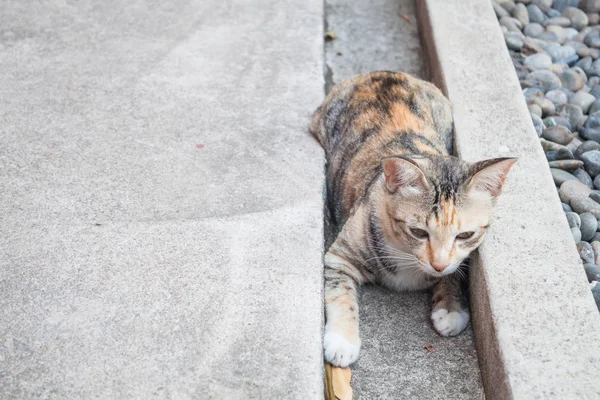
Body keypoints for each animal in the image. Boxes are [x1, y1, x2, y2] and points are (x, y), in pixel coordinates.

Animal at [310, 71, 516, 366]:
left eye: (465, 235)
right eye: (418, 232)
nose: (438, 265)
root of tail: (383, 73)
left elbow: (456, 271)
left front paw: (451, 308)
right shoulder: (338, 257)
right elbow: (341, 294)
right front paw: (342, 340)